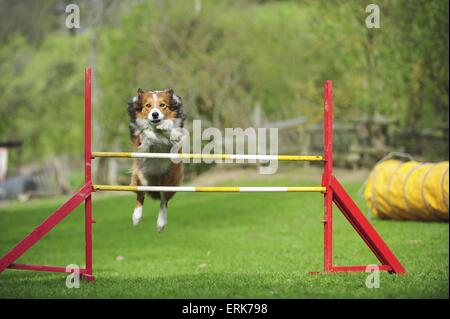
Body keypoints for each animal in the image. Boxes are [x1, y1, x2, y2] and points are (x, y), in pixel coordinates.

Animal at [128, 87, 186, 232]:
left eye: (162, 105)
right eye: (148, 106)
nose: (155, 115)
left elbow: (171, 131)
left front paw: (167, 129)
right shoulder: (139, 139)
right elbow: (145, 132)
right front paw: (150, 134)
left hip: (168, 181)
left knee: (163, 201)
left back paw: (161, 223)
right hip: (140, 177)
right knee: (140, 196)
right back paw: (136, 217)